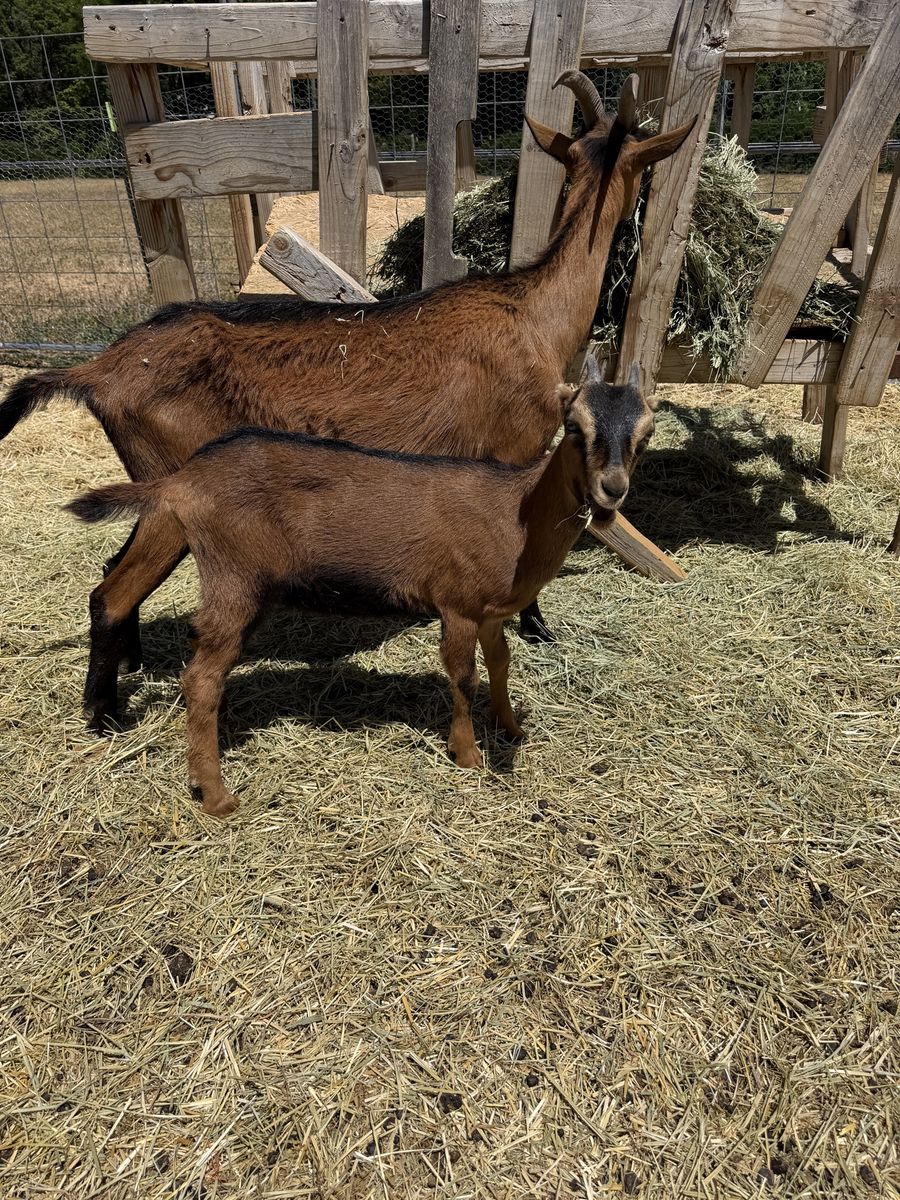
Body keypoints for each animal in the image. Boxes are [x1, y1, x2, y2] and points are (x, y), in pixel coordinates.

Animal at [4, 72, 695, 731]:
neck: (531, 310)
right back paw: (105, 714)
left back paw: (133, 665)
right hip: (176, 486)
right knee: (111, 592)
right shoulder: (515, 452)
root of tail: (98, 369)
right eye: (644, 163)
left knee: (109, 571)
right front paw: (536, 628)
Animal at [67, 355, 653, 816]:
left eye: (645, 434)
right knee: (201, 677)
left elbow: (501, 663)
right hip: (236, 580)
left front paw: (510, 728)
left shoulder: (490, 613)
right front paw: (467, 756)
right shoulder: (457, 605)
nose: (612, 490)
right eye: (573, 426)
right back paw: (215, 795)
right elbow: (462, 677)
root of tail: (182, 481)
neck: (514, 513)